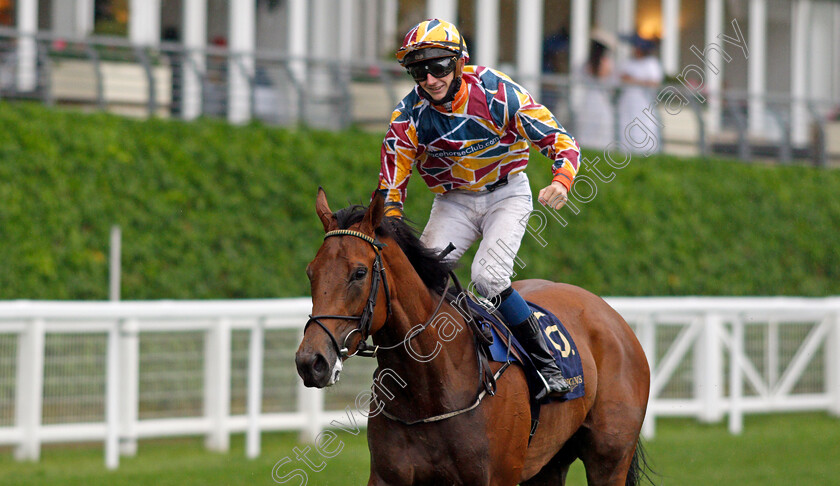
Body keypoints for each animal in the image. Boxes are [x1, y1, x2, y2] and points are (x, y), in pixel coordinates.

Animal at [298, 190, 652, 486]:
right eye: (311, 272)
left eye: (359, 273)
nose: (311, 362)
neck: (430, 388)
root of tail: (610, 314)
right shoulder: (388, 477)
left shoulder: (495, 478)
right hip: (548, 464)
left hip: (609, 458)